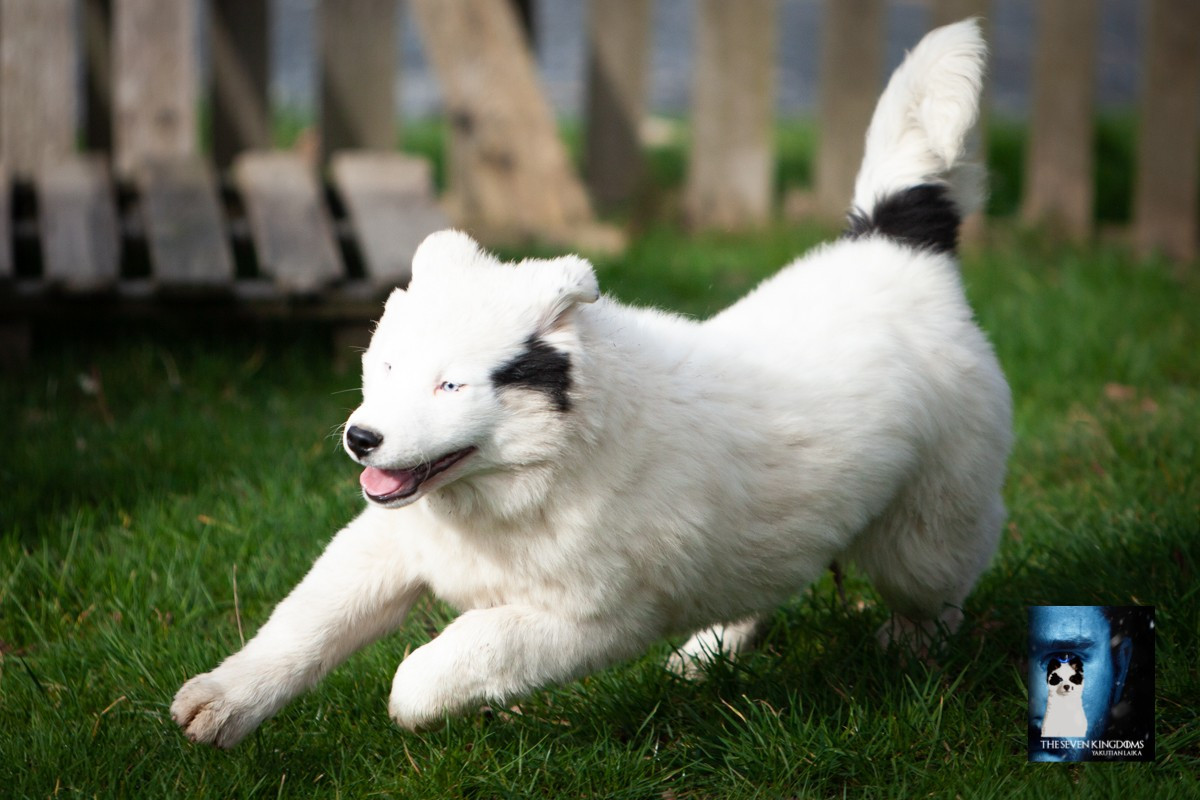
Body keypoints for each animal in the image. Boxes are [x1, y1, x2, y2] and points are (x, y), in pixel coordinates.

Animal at [173, 19, 1011, 748]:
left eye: (450, 387)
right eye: (384, 368)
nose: (360, 438)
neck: (527, 475)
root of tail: (898, 252)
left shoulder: (587, 619)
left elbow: (445, 661)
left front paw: (422, 702)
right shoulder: (385, 542)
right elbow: (308, 618)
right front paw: (223, 699)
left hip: (930, 521)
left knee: (936, 587)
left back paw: (910, 651)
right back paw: (710, 650)